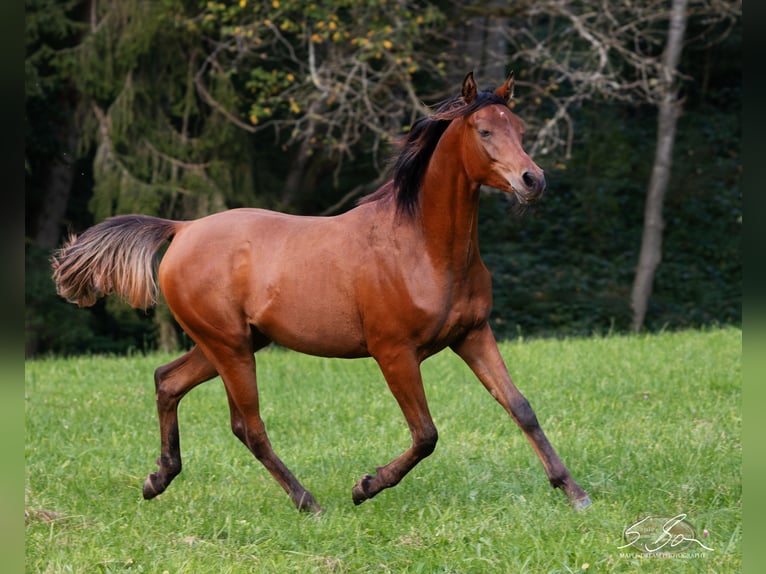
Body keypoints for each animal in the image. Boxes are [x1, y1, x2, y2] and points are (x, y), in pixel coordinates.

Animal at [54, 72, 592, 512]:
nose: (533, 180)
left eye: (520, 129)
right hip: (230, 347)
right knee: (249, 426)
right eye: (484, 131)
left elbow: (521, 407)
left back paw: (158, 479)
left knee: (168, 381)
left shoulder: (473, 334)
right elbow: (426, 434)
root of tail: (182, 229)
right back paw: (309, 502)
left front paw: (574, 492)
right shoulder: (395, 353)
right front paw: (366, 485)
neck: (423, 246)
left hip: (230, 343)